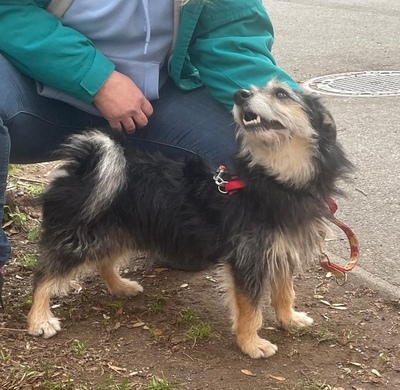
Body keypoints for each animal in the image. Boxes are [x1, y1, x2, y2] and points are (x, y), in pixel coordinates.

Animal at [27, 80, 354, 358]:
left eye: (282, 94)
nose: (240, 94)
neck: (276, 181)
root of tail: (82, 166)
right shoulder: (247, 258)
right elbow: (250, 309)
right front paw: (251, 343)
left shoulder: (281, 250)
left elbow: (285, 292)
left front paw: (289, 319)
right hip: (79, 236)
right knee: (44, 276)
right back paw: (39, 319)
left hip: (118, 231)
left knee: (103, 261)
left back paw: (120, 286)